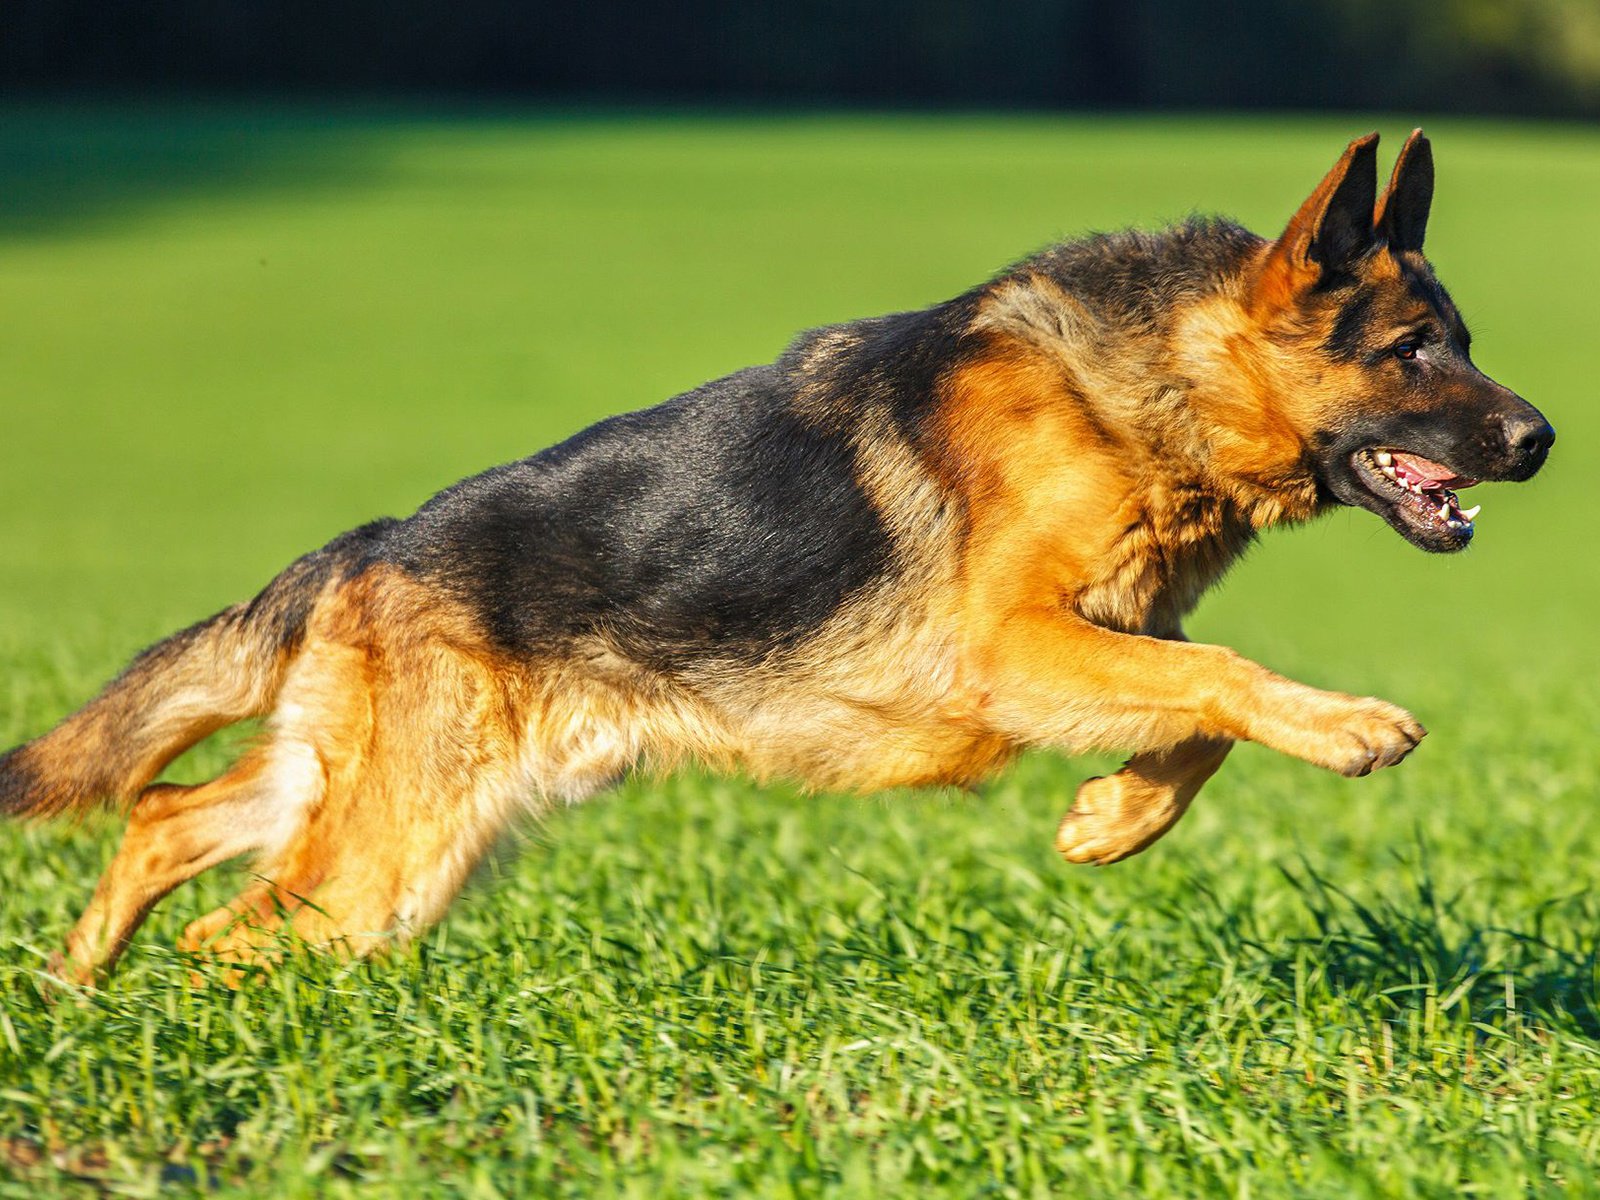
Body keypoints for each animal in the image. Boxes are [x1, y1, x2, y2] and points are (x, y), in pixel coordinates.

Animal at [0, 131, 1548, 985]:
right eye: (1416, 352)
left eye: (1462, 341)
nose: (1540, 440)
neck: (1150, 380)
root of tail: (370, 545)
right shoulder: (1012, 647)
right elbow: (1229, 675)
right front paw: (1348, 728)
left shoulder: (1100, 638)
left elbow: (1202, 715)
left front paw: (1113, 821)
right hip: (388, 862)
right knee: (226, 932)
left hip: (384, 801)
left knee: (168, 814)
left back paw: (75, 992)